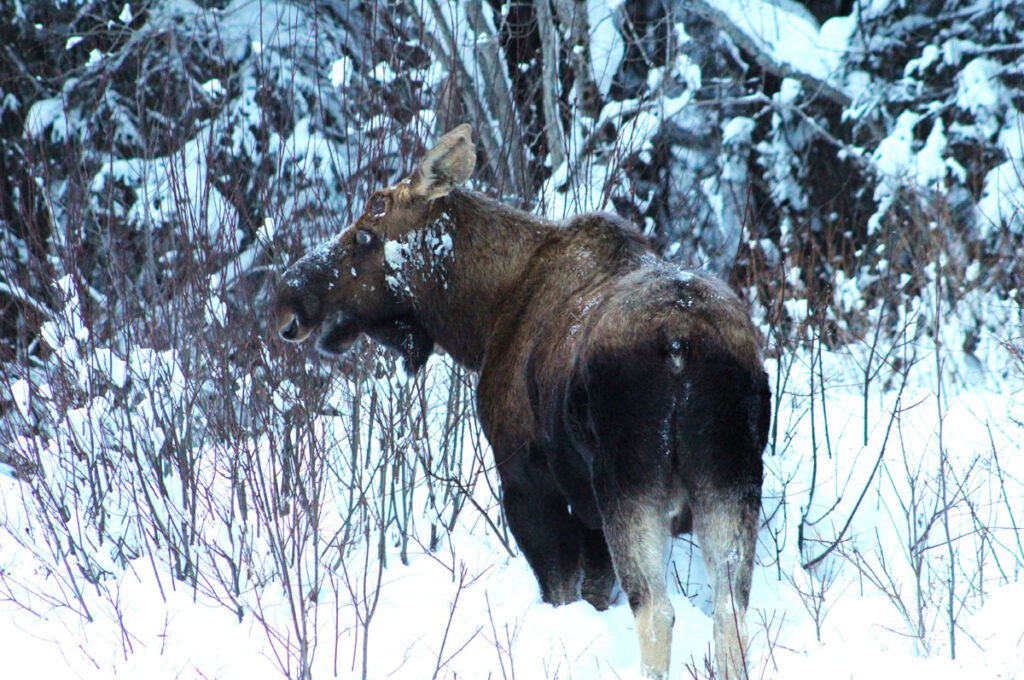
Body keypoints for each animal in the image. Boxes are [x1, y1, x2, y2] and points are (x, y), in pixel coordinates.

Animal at [272, 124, 770, 675]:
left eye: (365, 233)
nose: (286, 302)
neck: (481, 319)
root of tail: (682, 345)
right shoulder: (587, 507)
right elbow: (595, 592)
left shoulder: (527, 479)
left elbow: (561, 589)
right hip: (730, 479)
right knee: (731, 613)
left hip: (632, 485)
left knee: (657, 613)